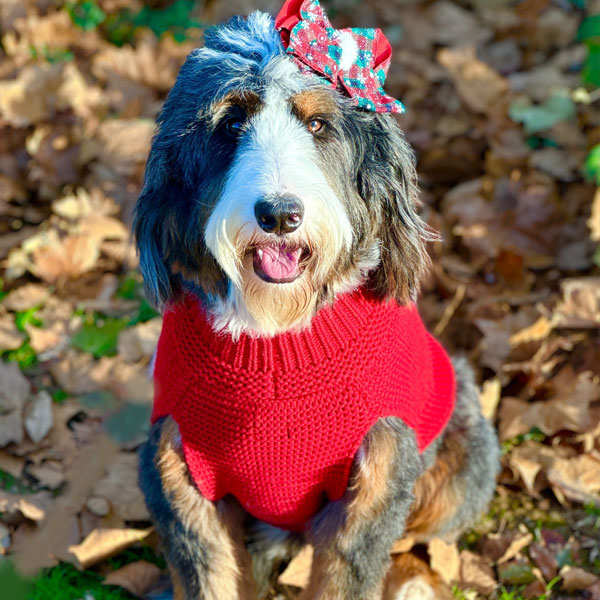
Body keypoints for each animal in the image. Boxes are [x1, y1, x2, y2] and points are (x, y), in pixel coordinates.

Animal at [135, 2, 502, 596]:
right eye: (231, 123)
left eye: (316, 124)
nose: (280, 214)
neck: (277, 334)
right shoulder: (176, 471)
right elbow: (207, 573)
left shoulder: (377, 476)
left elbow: (349, 569)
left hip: (461, 465)